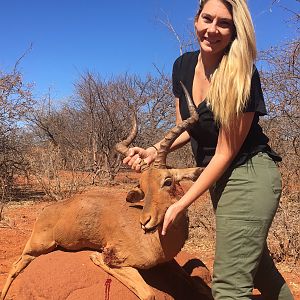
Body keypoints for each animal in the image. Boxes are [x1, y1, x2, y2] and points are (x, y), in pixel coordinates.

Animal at [0, 82, 204, 300]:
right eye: (142, 187)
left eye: (167, 181)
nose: (145, 221)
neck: (156, 241)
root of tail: (46, 210)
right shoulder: (117, 259)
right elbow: (148, 293)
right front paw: (95, 257)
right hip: (38, 246)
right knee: (15, 266)